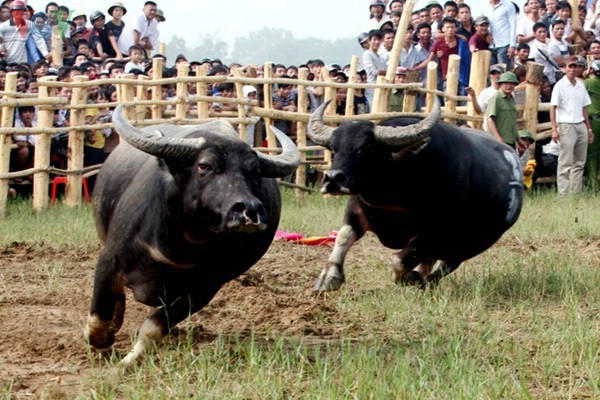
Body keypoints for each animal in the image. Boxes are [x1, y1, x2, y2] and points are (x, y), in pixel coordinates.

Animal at [85, 104, 300, 364]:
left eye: (256, 172)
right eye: (204, 165)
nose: (249, 210)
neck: (182, 244)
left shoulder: (205, 289)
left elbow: (155, 326)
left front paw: (130, 359)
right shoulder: (110, 259)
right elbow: (98, 318)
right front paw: (103, 341)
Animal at [308, 97, 524, 290]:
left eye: (366, 148)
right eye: (333, 149)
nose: (333, 179)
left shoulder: (434, 230)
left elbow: (399, 261)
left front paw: (409, 278)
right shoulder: (357, 207)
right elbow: (343, 236)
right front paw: (329, 277)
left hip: (474, 241)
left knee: (448, 263)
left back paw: (423, 279)